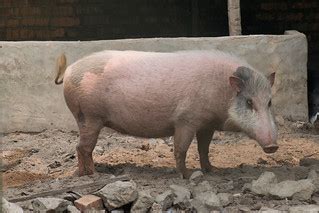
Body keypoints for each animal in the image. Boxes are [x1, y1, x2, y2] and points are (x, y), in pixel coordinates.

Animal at [55, 50, 278, 178]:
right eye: (249, 102)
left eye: (269, 102)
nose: (273, 146)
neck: (222, 92)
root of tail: (69, 70)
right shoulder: (185, 120)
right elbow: (181, 149)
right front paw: (187, 175)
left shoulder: (206, 124)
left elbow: (204, 149)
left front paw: (212, 171)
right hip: (89, 116)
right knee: (82, 147)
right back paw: (92, 175)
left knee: (81, 147)